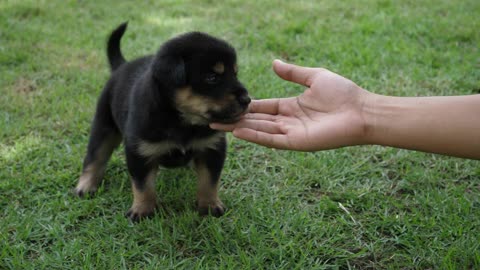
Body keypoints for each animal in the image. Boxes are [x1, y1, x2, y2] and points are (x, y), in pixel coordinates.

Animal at [75, 22, 251, 221]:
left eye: (235, 74)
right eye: (212, 78)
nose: (247, 99)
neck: (182, 121)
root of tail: (123, 65)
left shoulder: (211, 148)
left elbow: (209, 181)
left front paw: (210, 205)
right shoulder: (140, 152)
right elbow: (143, 186)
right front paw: (142, 210)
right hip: (104, 124)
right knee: (95, 156)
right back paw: (86, 186)